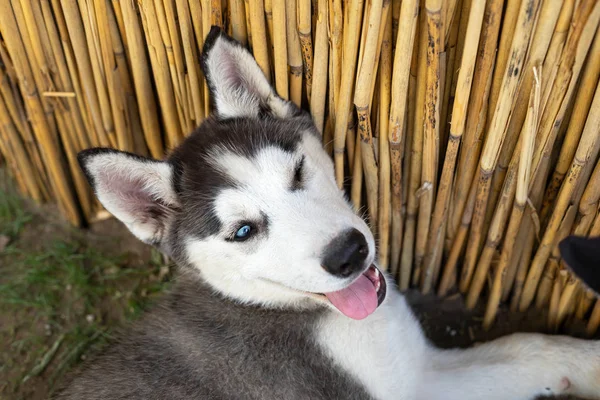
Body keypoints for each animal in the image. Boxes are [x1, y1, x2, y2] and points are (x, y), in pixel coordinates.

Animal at [57, 26, 600, 398]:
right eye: (243, 231)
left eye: (298, 171)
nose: (349, 253)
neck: (274, 306)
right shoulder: (412, 388)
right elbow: (521, 357)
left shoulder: (417, 364)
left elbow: (528, 345)